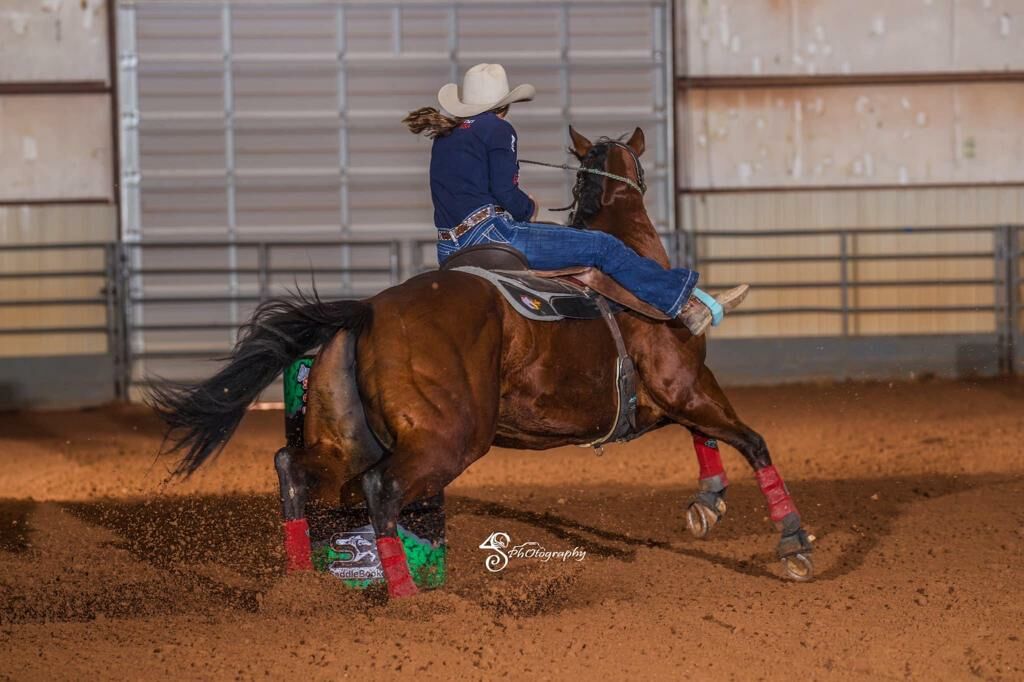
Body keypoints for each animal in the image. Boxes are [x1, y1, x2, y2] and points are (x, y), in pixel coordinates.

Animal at [148, 125, 811, 593]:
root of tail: (367, 312)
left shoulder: (675, 397)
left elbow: (707, 437)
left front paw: (707, 503)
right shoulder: (684, 384)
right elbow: (752, 442)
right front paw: (793, 544)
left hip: (346, 435)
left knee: (294, 469)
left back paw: (300, 587)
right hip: (445, 440)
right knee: (382, 489)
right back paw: (412, 600)